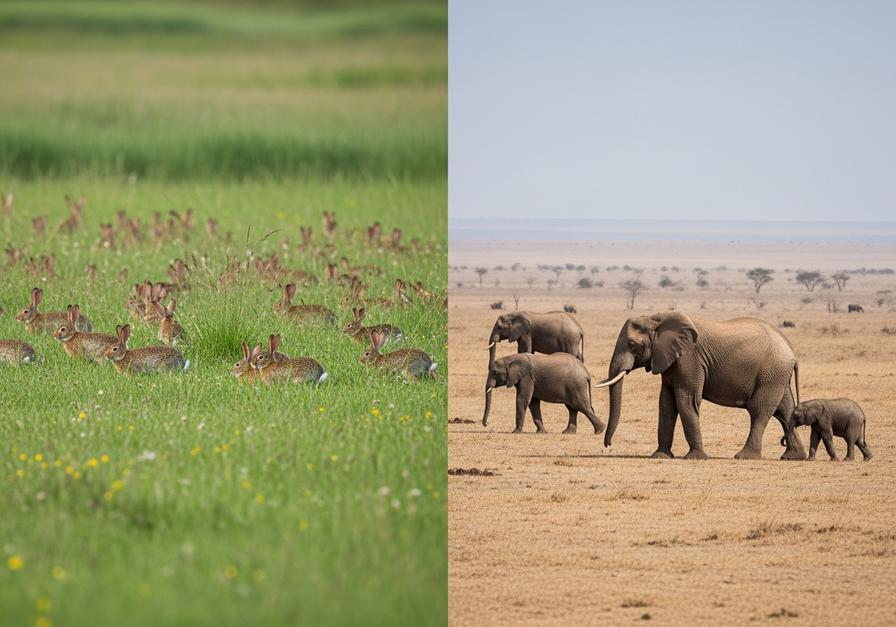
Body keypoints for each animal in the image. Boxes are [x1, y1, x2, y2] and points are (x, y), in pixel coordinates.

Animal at [595, 312, 806, 460]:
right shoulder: (669, 360)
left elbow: (686, 401)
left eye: (631, 344)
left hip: (771, 373)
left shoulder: (690, 359)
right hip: (778, 375)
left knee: (759, 410)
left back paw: (744, 456)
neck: (657, 319)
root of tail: (792, 352)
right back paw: (794, 457)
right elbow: (666, 404)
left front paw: (695, 457)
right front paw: (660, 456)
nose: (608, 445)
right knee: (785, 410)